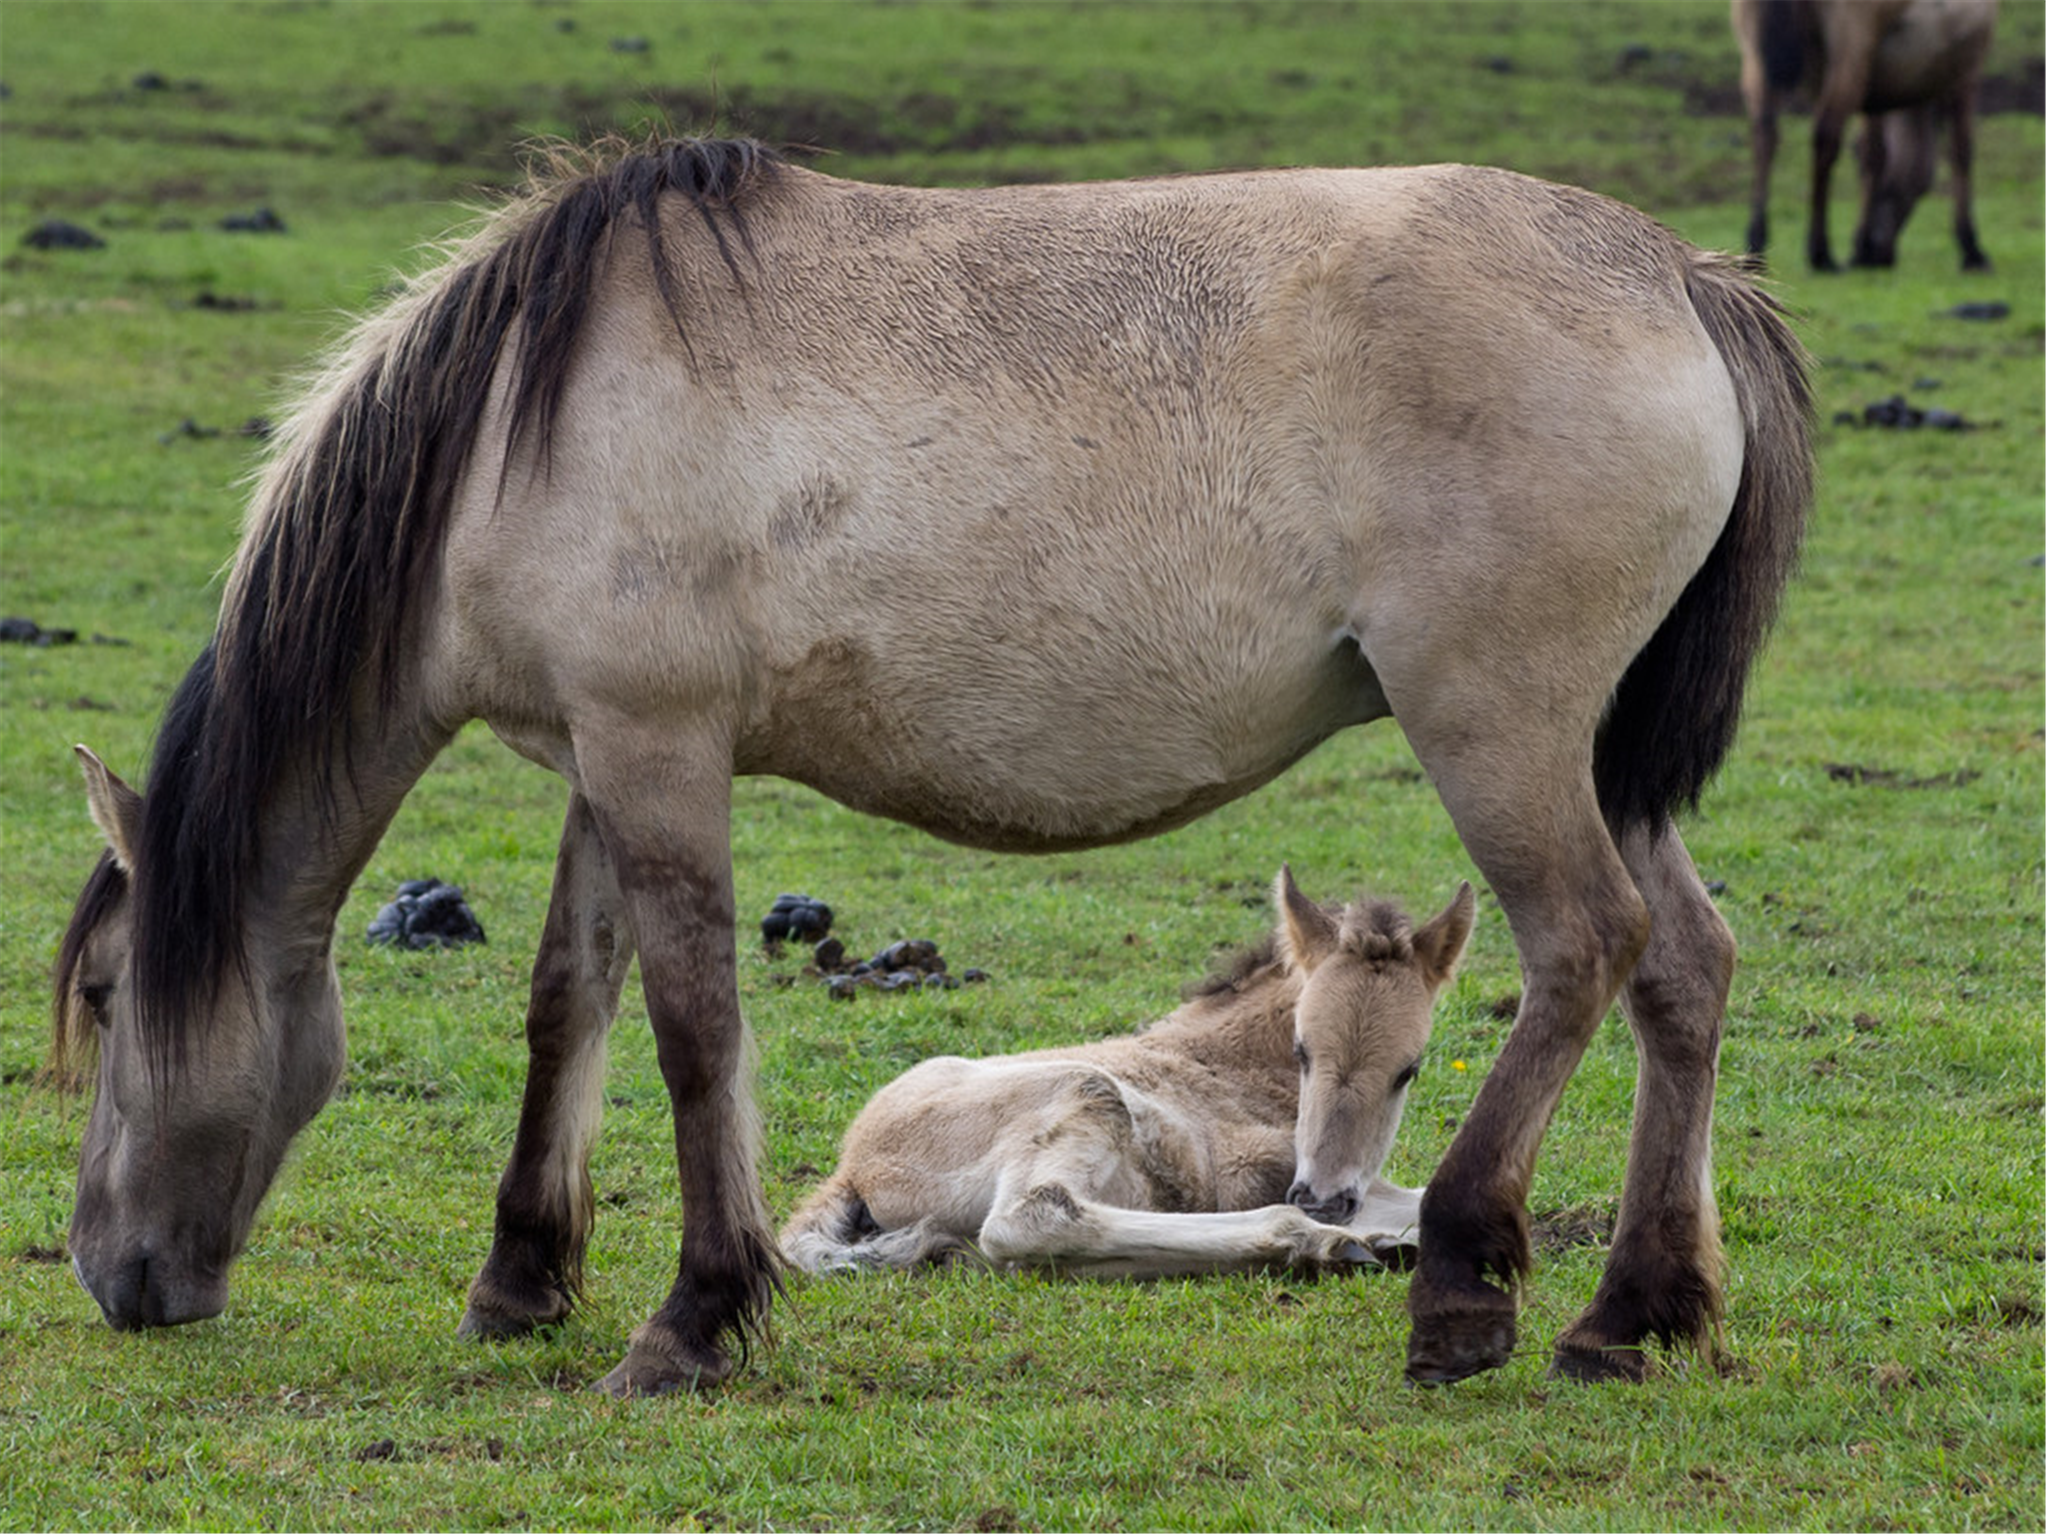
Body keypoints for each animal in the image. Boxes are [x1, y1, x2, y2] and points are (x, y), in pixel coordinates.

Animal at [781, 871, 1473, 1276]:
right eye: (1303, 1051)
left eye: (1407, 1070)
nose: (1324, 1199)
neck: (1239, 1064)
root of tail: (851, 1167)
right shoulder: (1248, 1172)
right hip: (1083, 1091)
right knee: (1030, 1222)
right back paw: (1322, 1244)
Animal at [1735, 0, 2005, 269]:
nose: (1883, 254)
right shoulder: (1966, 72)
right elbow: (1962, 153)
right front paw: (1971, 247)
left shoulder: (1877, 93)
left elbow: (1871, 156)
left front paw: (1861, 246)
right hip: (1851, 48)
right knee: (1825, 136)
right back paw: (1820, 251)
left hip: (1755, 57)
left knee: (1764, 138)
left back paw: (1756, 243)